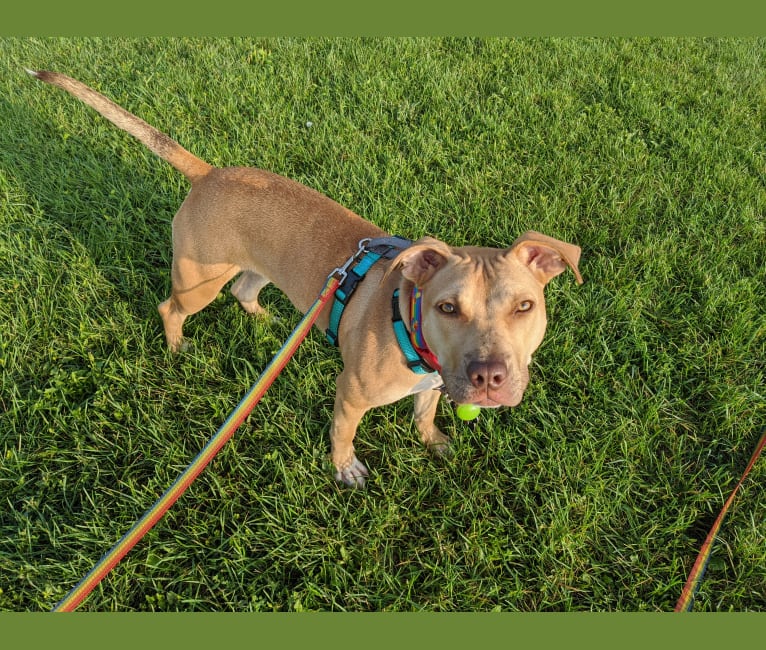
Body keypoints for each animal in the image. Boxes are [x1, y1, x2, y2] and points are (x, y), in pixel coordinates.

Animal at [28, 71, 584, 486]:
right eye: (447, 307)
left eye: (524, 307)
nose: (488, 378)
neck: (411, 328)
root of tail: (208, 174)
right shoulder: (351, 393)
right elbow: (342, 434)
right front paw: (346, 470)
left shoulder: (431, 382)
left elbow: (425, 413)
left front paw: (435, 442)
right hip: (198, 279)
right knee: (172, 306)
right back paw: (177, 346)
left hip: (256, 269)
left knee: (244, 291)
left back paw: (269, 321)